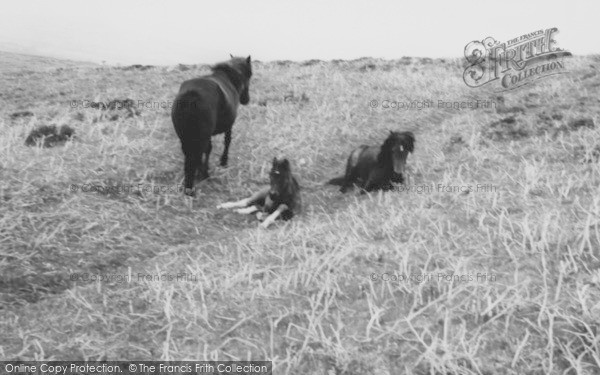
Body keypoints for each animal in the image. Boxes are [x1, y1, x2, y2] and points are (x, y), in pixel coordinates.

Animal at [172, 56, 252, 198]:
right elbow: (227, 141)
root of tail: (191, 96)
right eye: (249, 74)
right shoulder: (229, 125)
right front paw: (223, 161)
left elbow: (208, 149)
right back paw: (201, 178)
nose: (246, 100)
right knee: (196, 156)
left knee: (191, 157)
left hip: (186, 138)